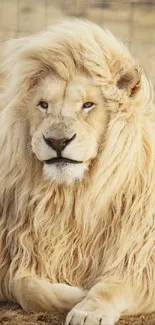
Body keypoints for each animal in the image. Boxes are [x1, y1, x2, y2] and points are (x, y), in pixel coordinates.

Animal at [0, 18, 155, 324]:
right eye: (43, 105)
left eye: (87, 105)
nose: (57, 141)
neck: (74, 198)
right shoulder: (16, 255)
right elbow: (27, 288)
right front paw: (76, 294)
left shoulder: (140, 259)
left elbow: (111, 286)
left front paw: (88, 309)